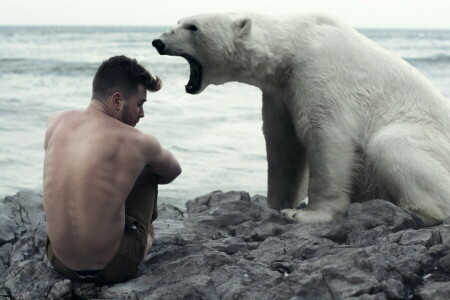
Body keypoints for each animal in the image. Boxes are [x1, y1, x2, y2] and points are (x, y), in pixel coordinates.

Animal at [152, 14, 450, 225]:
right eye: (178, 21)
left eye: (192, 27)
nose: (158, 42)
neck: (291, 45)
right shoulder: (280, 92)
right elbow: (283, 146)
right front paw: (274, 205)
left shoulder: (317, 71)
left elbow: (327, 135)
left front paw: (305, 214)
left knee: (392, 144)